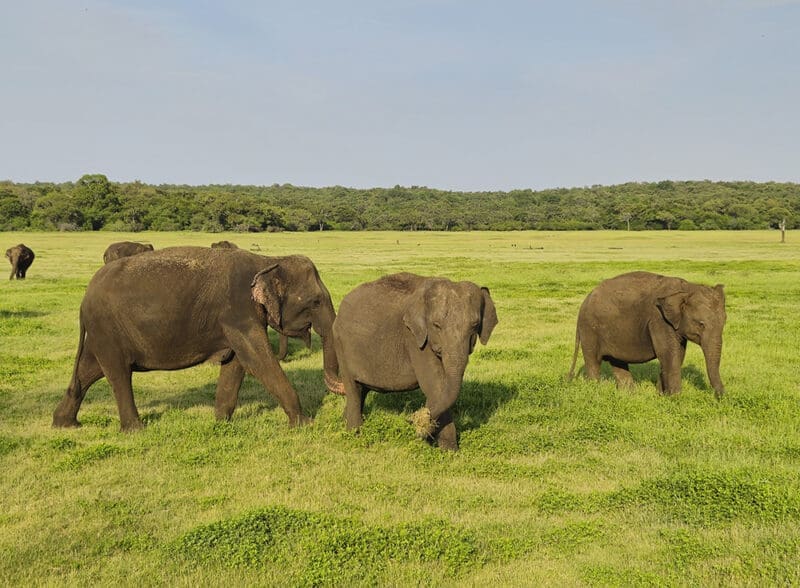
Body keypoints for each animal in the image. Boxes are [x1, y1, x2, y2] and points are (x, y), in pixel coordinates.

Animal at [53, 246, 342, 431]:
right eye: (316, 301)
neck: (266, 260)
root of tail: (84, 299)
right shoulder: (237, 312)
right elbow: (257, 361)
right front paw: (305, 424)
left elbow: (235, 365)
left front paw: (221, 423)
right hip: (107, 329)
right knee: (118, 373)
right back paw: (136, 430)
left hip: (102, 332)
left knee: (89, 371)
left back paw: (64, 424)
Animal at [332, 272, 498, 450]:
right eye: (436, 325)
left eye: (475, 325)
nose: (410, 419)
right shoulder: (414, 339)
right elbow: (434, 385)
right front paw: (449, 450)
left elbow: (440, 388)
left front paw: (433, 440)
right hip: (342, 345)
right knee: (353, 388)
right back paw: (354, 435)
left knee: (361, 390)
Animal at [568, 271, 726, 398]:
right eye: (701, 324)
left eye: (724, 321)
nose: (720, 398)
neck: (686, 288)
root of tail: (584, 302)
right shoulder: (659, 321)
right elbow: (670, 355)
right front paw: (676, 398)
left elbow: (677, 354)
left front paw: (661, 395)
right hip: (589, 329)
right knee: (593, 361)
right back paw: (595, 391)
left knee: (617, 361)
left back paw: (628, 394)